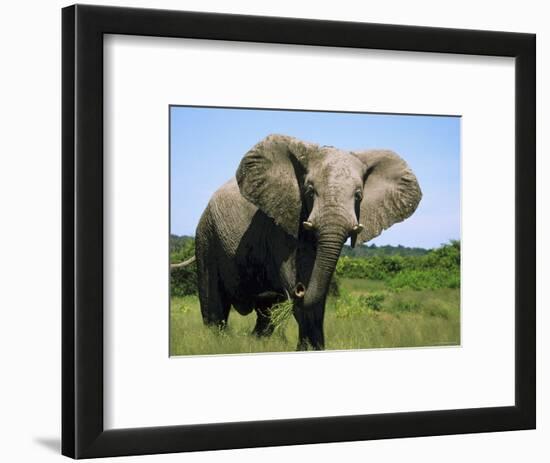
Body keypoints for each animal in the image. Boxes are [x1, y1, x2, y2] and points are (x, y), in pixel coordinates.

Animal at [196, 135, 424, 352]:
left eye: (359, 195)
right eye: (310, 191)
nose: (300, 288)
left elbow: (318, 294)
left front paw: (314, 349)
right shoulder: (280, 224)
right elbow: (293, 278)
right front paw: (306, 348)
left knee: (265, 313)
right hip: (206, 235)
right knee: (214, 304)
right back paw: (217, 344)